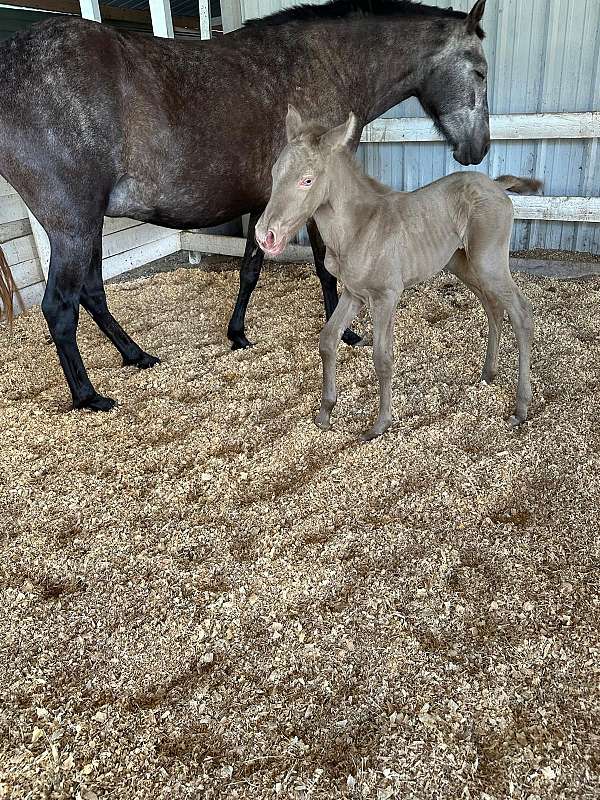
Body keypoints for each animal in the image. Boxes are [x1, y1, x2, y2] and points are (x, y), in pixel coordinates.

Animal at [0, 0, 488, 412]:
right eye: (481, 72)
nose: (478, 149)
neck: (324, 64)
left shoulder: (266, 204)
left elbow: (251, 268)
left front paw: (237, 334)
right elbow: (325, 268)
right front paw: (346, 330)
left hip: (90, 224)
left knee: (92, 293)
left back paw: (136, 355)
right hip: (74, 225)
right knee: (60, 306)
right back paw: (88, 395)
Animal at [255, 106, 536, 440]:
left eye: (307, 180)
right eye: (274, 174)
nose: (265, 236)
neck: (357, 229)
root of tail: (496, 185)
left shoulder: (386, 296)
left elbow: (382, 358)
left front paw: (379, 425)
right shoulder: (353, 293)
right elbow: (328, 339)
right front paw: (325, 412)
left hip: (489, 261)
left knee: (520, 313)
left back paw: (521, 407)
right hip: (462, 264)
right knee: (492, 306)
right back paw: (488, 374)